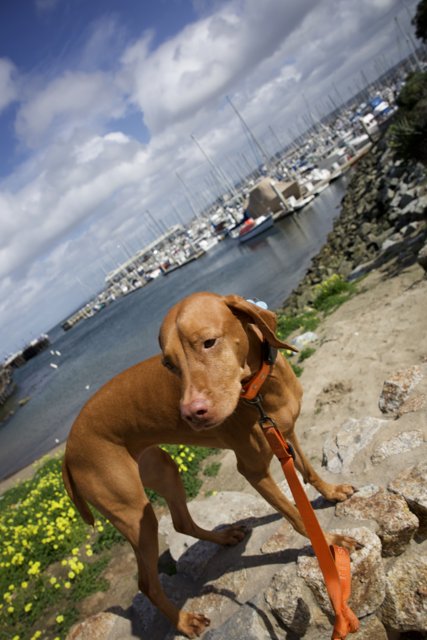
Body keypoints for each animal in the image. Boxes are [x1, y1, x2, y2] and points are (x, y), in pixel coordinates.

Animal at [62, 292, 358, 636]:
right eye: (168, 364)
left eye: (208, 342)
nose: (190, 413)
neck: (260, 392)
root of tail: (67, 450)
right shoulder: (253, 470)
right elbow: (297, 515)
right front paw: (330, 542)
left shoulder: (285, 433)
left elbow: (308, 472)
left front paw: (332, 492)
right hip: (134, 512)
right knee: (147, 582)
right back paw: (184, 621)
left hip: (164, 469)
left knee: (181, 523)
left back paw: (224, 538)